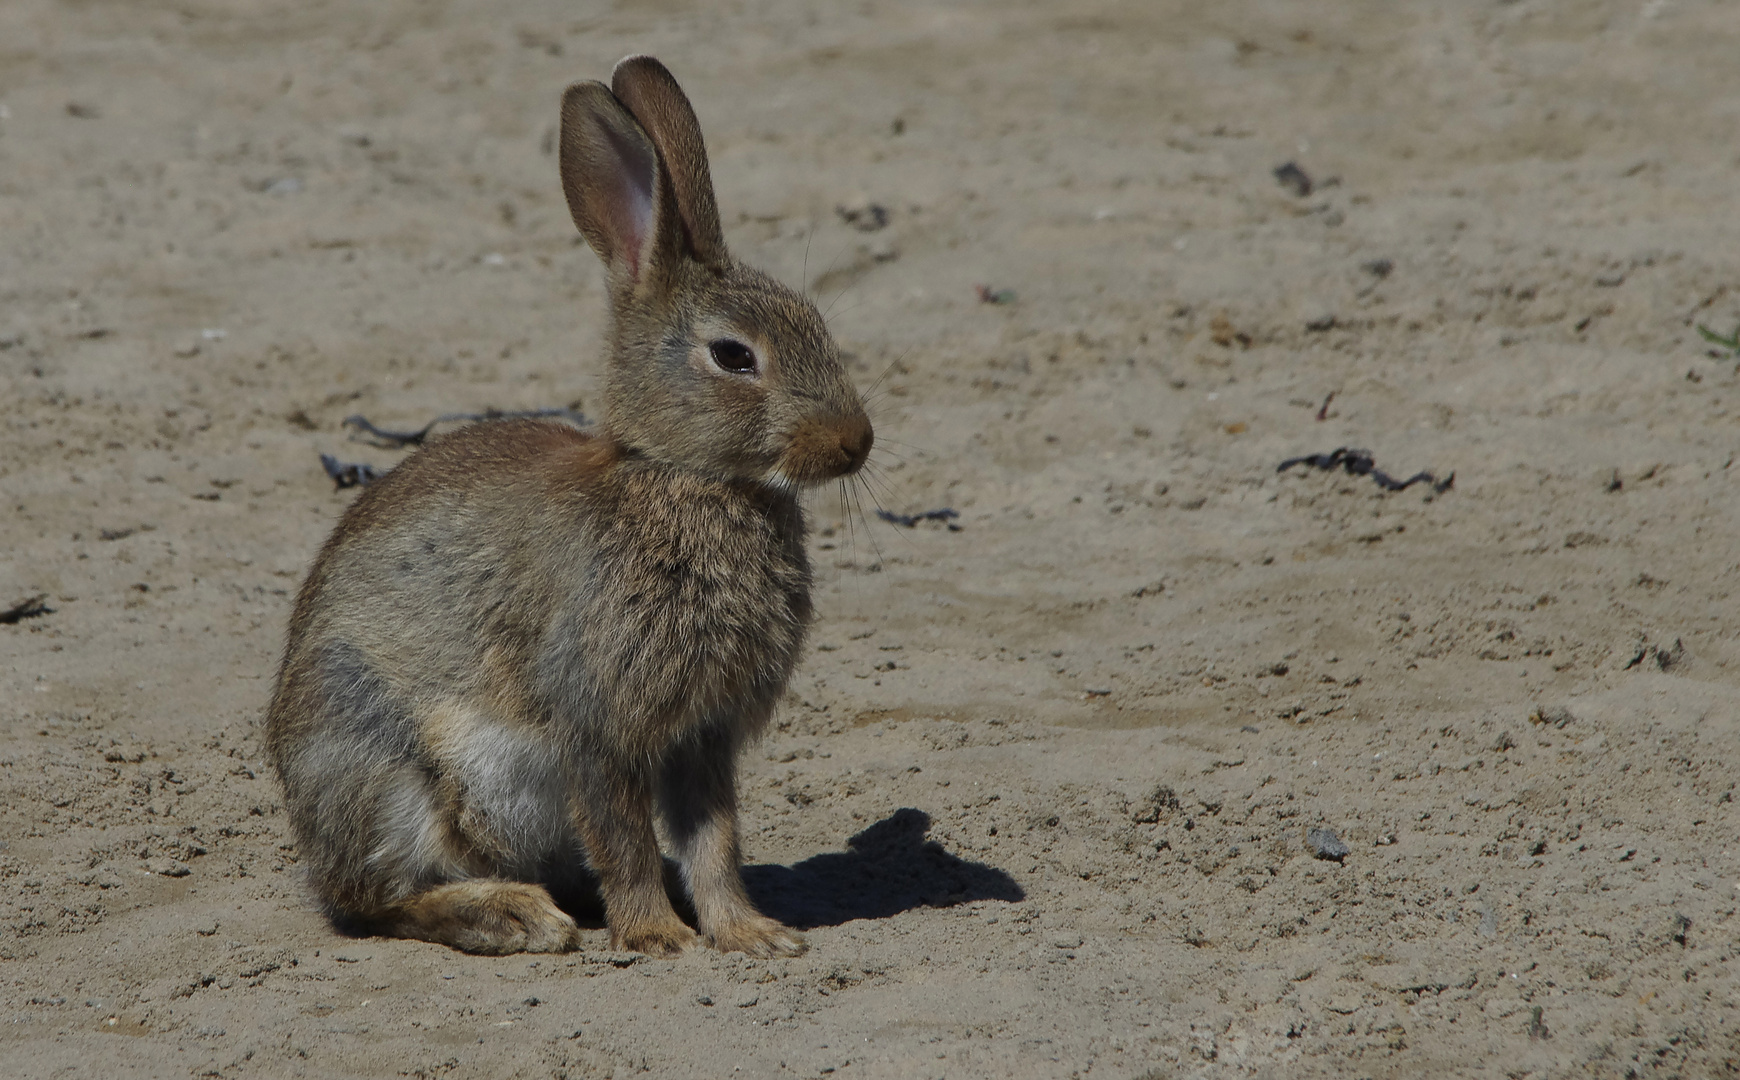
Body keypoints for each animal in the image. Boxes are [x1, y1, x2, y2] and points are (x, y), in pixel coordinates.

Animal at [261, 54, 870, 953]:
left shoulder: (704, 737)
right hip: (379, 765)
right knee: (378, 900)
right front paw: (657, 936)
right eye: (733, 356)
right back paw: (512, 915)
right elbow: (623, 835)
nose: (855, 441)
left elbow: (714, 840)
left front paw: (749, 932)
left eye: (817, 321)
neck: (680, 478)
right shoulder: (596, 722)